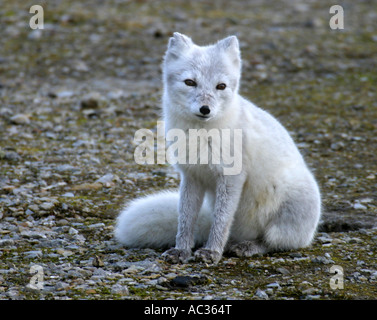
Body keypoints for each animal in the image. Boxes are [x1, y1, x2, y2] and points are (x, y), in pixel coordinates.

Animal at [114, 32, 320, 264]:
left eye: (221, 86)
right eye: (190, 82)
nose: (205, 109)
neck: (200, 135)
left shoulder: (231, 177)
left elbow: (221, 221)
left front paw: (211, 252)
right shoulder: (192, 176)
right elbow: (185, 219)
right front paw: (181, 250)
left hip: (286, 212)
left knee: (273, 242)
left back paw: (247, 246)